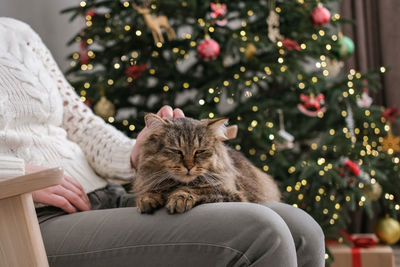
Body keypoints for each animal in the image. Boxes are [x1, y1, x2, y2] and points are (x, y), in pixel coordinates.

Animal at [133, 114, 280, 215]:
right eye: (177, 151)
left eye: (199, 151)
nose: (189, 166)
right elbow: (151, 191)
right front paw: (146, 199)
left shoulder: (231, 194)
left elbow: (197, 189)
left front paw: (179, 198)